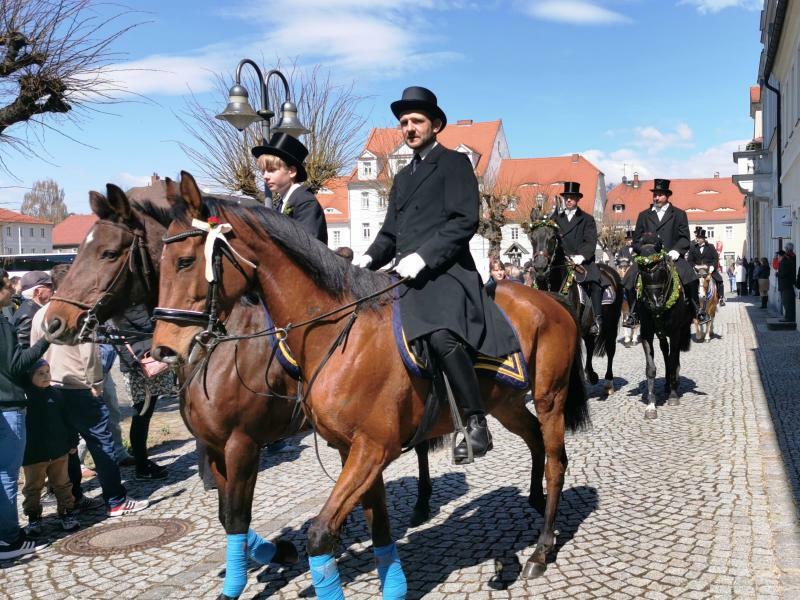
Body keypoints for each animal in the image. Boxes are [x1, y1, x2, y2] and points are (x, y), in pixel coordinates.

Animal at [150, 170, 588, 596]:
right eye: (158, 262)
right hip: (506, 403)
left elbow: (315, 532)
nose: (164, 350)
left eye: (185, 261)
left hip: (549, 397)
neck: (337, 332)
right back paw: (534, 503)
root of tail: (548, 300)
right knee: (534, 440)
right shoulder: (350, 450)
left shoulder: (324, 447)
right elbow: (374, 525)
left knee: (556, 461)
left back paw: (541, 548)